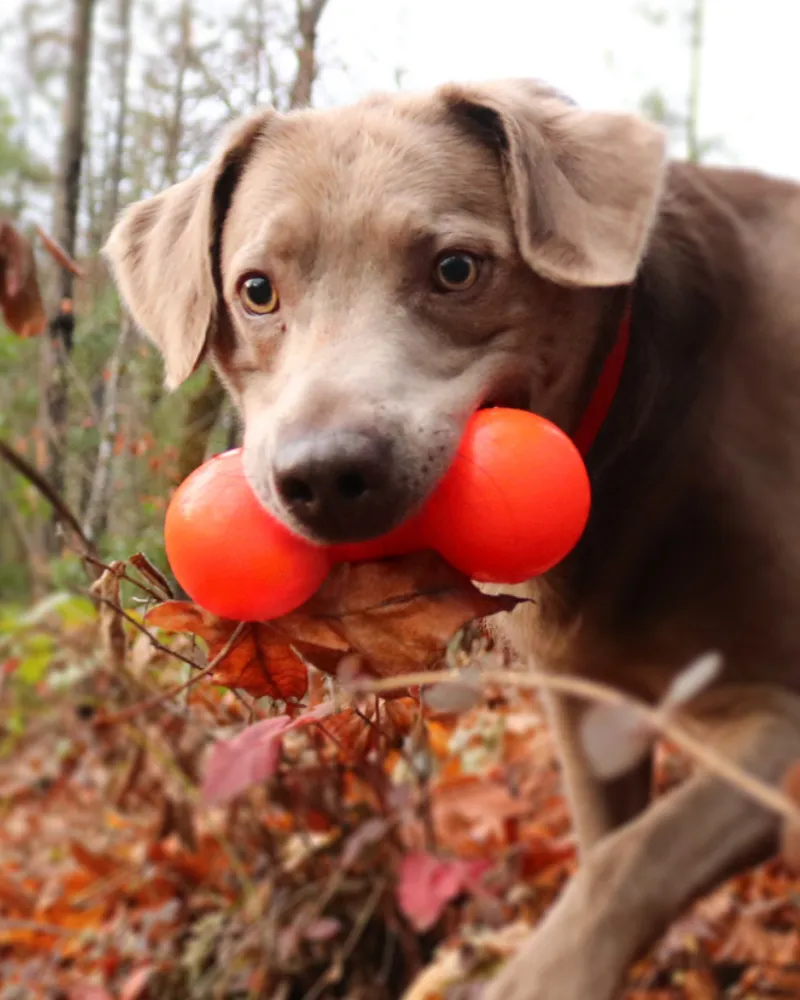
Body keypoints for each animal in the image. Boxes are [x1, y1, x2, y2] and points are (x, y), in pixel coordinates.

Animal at [101, 82, 800, 996]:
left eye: (457, 269)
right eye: (256, 291)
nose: (325, 476)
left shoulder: (773, 716)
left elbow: (629, 862)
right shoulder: (589, 711)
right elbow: (607, 846)